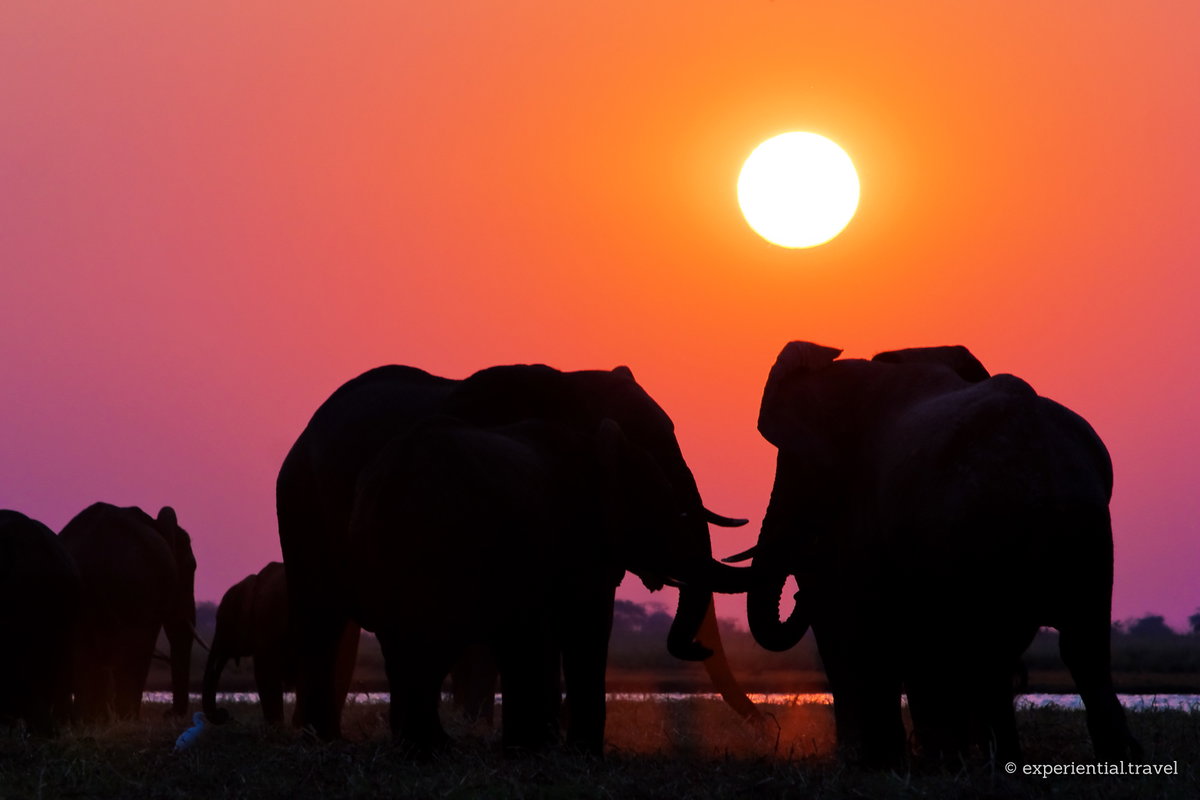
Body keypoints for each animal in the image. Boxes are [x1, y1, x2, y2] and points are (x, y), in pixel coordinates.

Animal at [277, 363, 754, 744]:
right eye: (651, 442)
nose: (700, 649)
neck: (569, 381)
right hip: (301, 502)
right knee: (322, 619)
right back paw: (325, 740)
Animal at [744, 342, 1139, 766]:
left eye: (798, 467)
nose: (797, 595)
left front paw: (881, 761)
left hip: (979, 527)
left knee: (985, 650)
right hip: (1084, 529)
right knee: (1081, 649)